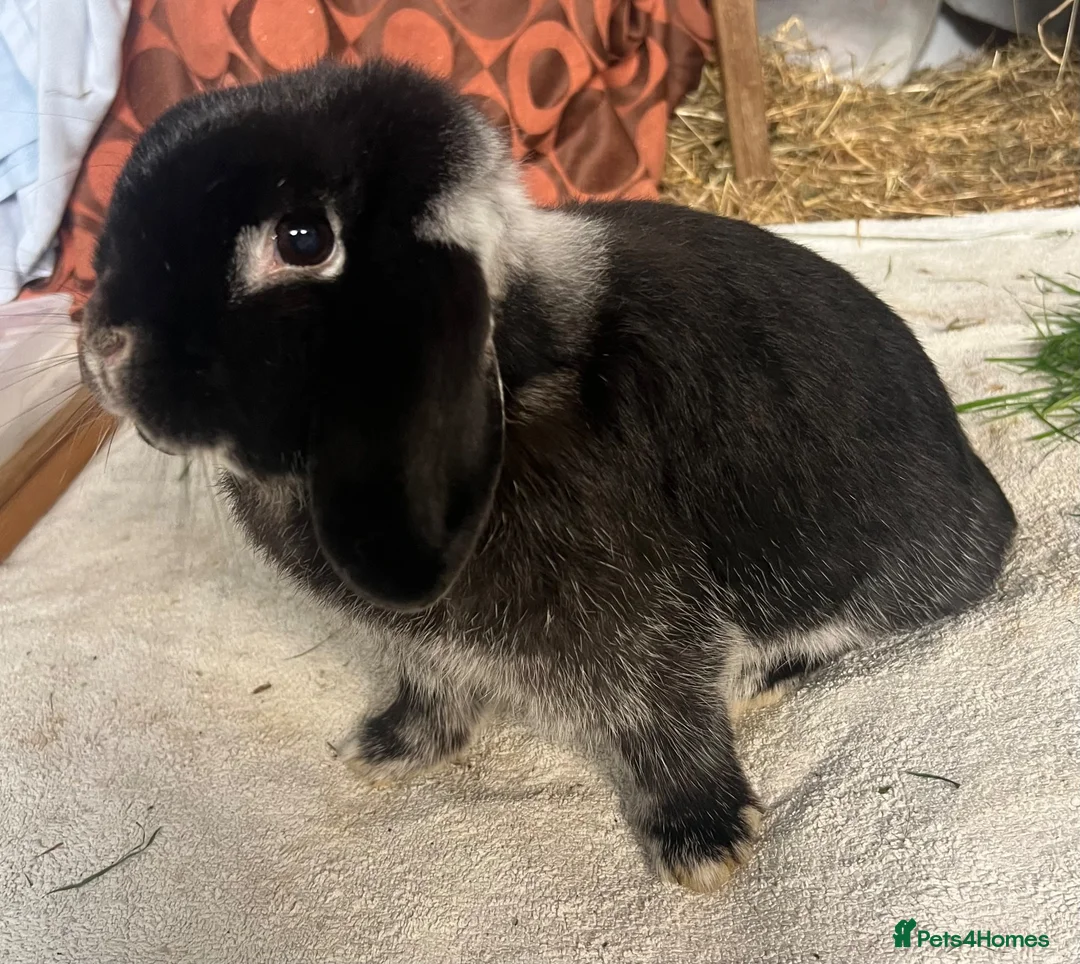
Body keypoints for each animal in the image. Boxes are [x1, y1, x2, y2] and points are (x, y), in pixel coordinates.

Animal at [78, 59, 1016, 892]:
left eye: (301, 240)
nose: (101, 347)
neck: (512, 368)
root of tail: (987, 505)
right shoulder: (427, 650)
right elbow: (431, 698)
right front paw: (382, 750)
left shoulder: (644, 636)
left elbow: (669, 724)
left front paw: (705, 848)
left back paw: (755, 683)